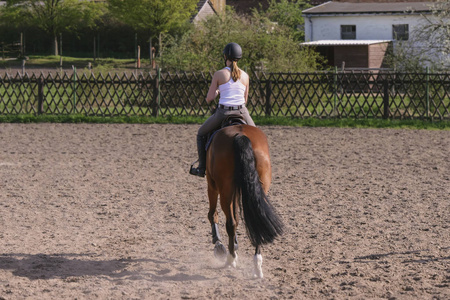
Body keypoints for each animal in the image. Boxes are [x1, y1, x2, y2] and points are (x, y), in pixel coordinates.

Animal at [206, 124, 284, 278]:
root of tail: (240, 135)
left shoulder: (211, 186)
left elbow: (213, 215)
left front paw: (219, 245)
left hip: (225, 190)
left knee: (230, 223)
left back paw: (230, 260)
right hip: (260, 187)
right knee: (257, 220)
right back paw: (257, 266)